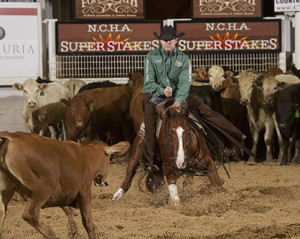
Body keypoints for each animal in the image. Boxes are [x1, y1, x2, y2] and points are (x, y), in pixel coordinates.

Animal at [0, 132, 129, 238]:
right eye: (109, 159)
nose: (105, 182)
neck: (85, 157)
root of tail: (11, 137)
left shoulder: (62, 193)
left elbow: (67, 210)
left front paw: (73, 230)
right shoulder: (85, 192)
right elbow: (88, 223)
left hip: (6, 192)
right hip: (43, 190)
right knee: (30, 214)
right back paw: (50, 233)